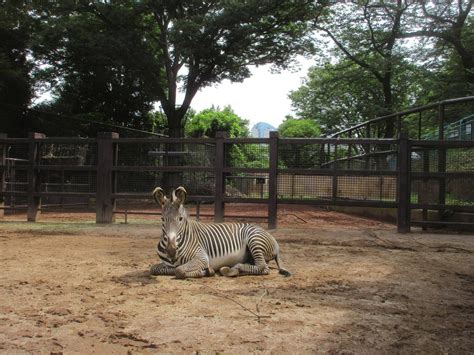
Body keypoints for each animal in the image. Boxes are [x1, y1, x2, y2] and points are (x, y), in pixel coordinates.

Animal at [148, 186, 290, 280]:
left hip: (254, 239)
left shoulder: (202, 257)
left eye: (180, 219)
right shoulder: (167, 264)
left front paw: (206, 271)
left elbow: (179, 270)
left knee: (262, 267)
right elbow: (154, 268)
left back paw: (232, 269)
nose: (171, 250)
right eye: (162, 219)